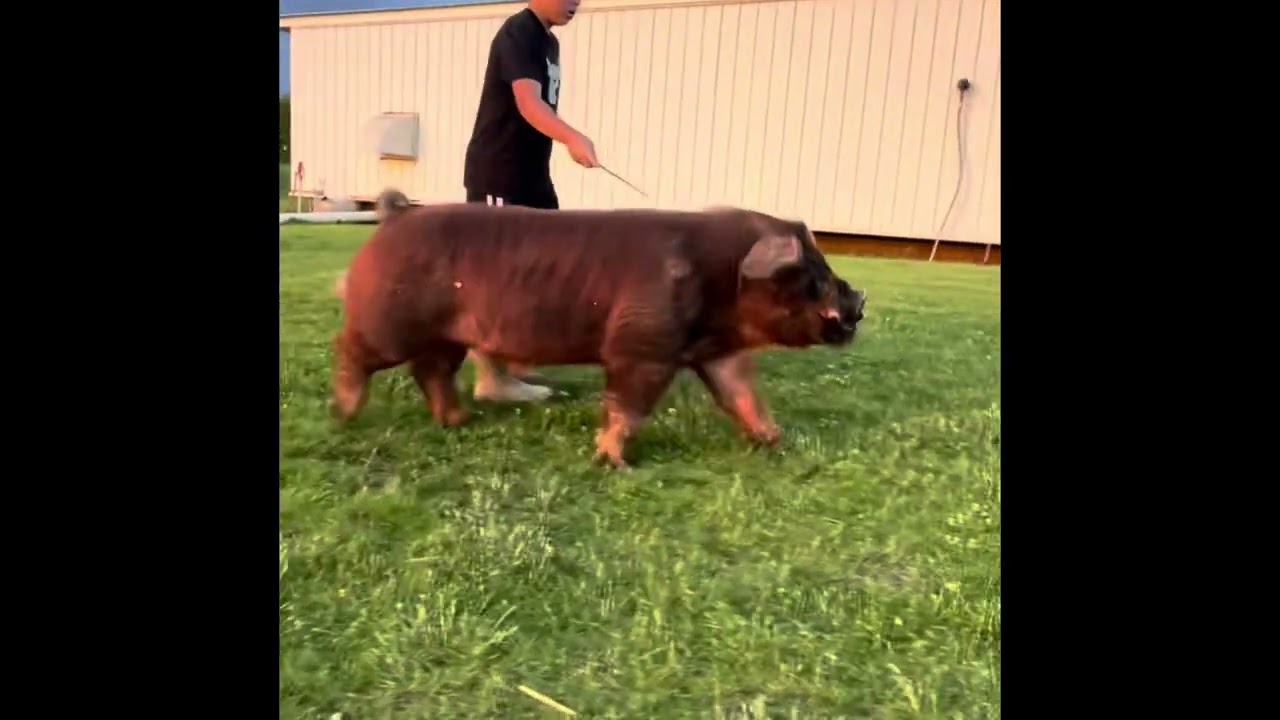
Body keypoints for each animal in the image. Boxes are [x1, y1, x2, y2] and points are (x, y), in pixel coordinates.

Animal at [330, 189, 867, 468]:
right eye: (816, 278)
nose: (860, 300)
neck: (723, 277)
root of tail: (396, 215)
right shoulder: (641, 348)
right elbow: (627, 409)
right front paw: (616, 464)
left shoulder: (718, 352)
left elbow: (744, 396)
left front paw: (777, 444)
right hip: (388, 322)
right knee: (351, 349)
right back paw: (343, 414)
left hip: (448, 336)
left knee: (431, 371)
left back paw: (459, 421)